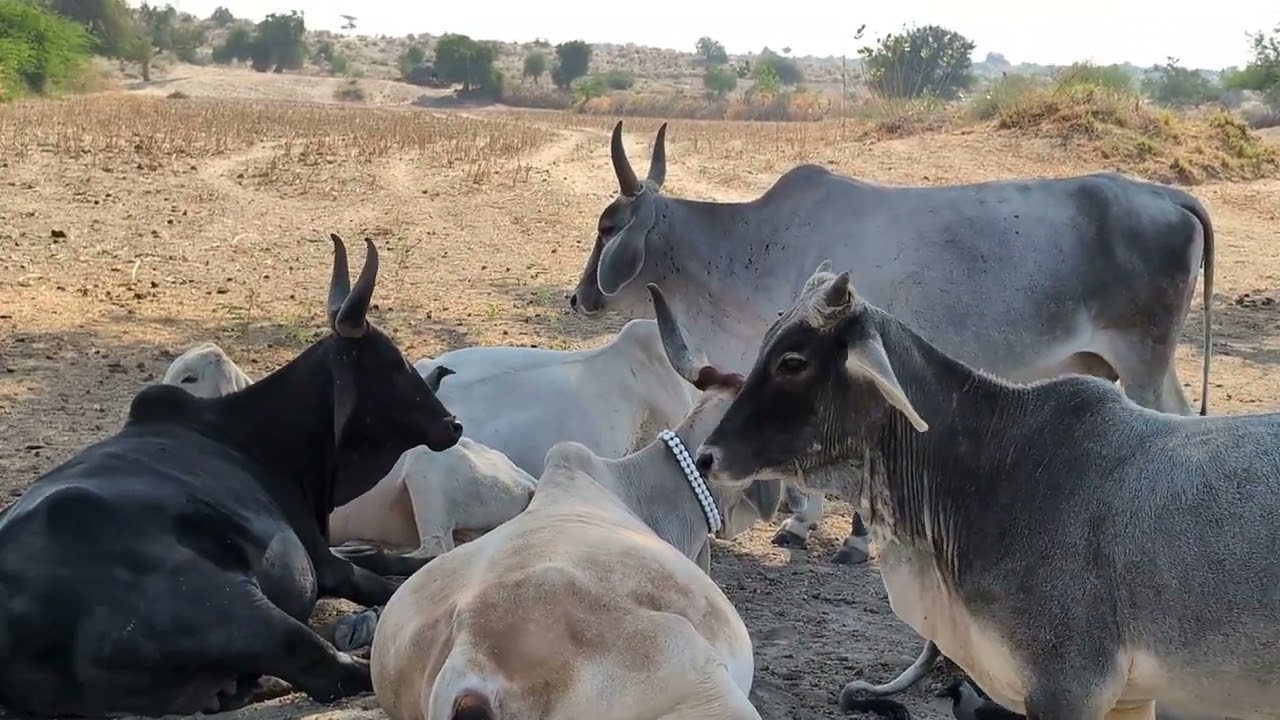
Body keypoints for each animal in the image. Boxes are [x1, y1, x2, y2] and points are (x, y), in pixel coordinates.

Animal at [0, 234, 464, 717]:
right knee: (329, 669)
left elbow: (375, 555)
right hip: (238, 606)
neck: (252, 437)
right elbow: (375, 579)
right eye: (392, 362)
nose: (451, 425)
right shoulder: (320, 559)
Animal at [567, 120, 1215, 567]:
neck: (746, 248)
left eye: (606, 227)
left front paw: (848, 539)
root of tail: (1169, 195)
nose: (578, 298)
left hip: (1143, 360)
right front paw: (803, 524)